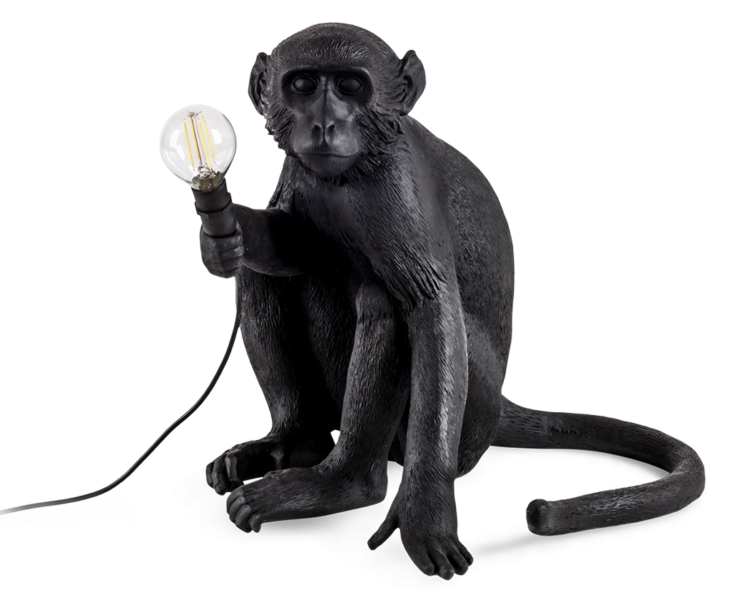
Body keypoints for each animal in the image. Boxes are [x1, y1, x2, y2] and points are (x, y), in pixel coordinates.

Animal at [198, 22, 707, 579]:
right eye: (304, 85)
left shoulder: (398, 190)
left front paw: (425, 511)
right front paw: (228, 233)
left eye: (351, 87)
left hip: (472, 415)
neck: (353, 172)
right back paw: (294, 441)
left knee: (384, 302)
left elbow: (429, 307)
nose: (325, 124)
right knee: (269, 277)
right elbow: (290, 243)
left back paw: (345, 483)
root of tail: (501, 404)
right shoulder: (302, 173)